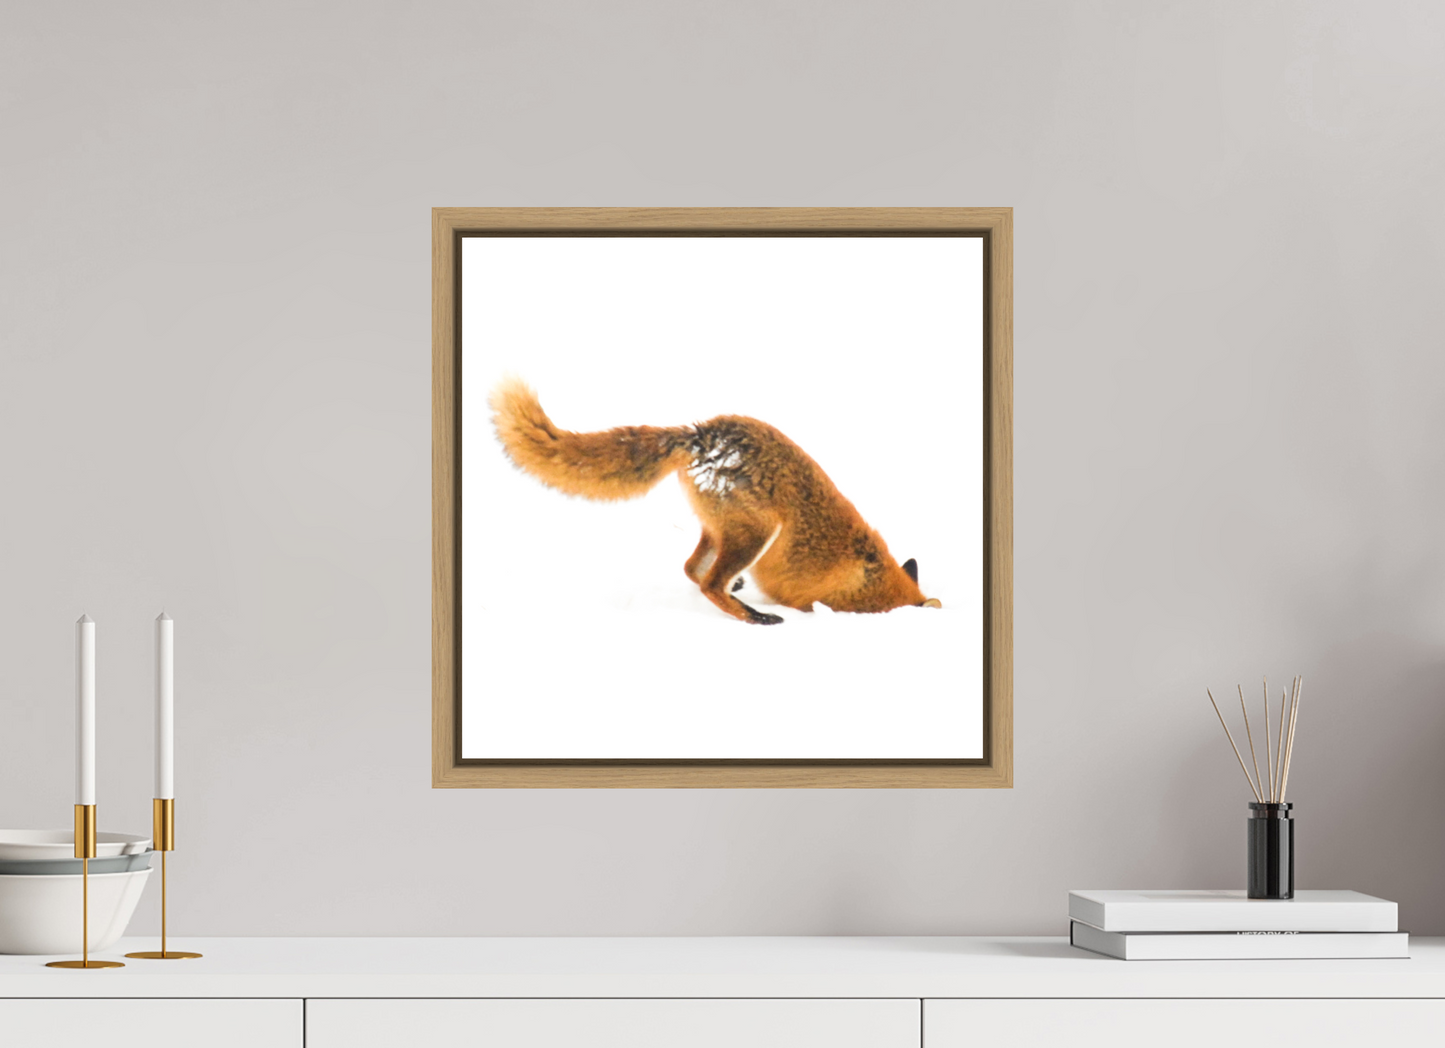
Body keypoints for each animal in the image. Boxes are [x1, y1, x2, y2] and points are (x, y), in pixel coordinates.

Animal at [489, 378, 943, 625]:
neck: (872, 580)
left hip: (718, 529)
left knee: (692, 569)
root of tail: (701, 434)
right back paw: (756, 618)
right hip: (757, 531)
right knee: (708, 583)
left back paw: (737, 593)